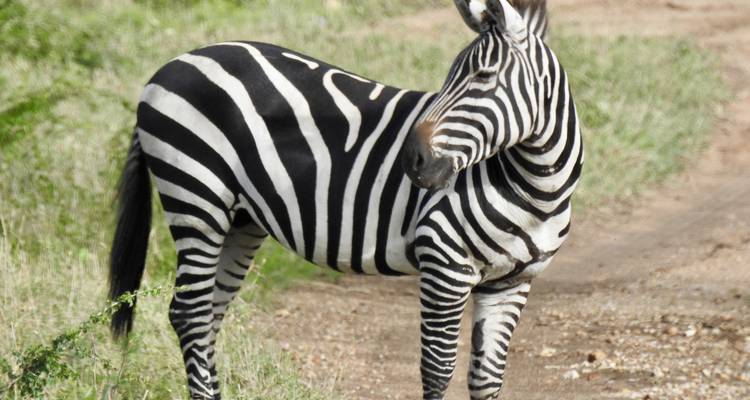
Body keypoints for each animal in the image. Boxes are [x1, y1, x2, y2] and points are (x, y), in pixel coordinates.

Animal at [108, 0, 581, 399]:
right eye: (448, 78)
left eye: (483, 77)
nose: (412, 160)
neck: (535, 188)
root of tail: (167, 68)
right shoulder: (444, 266)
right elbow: (437, 369)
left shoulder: (511, 282)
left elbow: (486, 380)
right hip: (196, 197)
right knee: (189, 313)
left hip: (239, 219)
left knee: (207, 314)